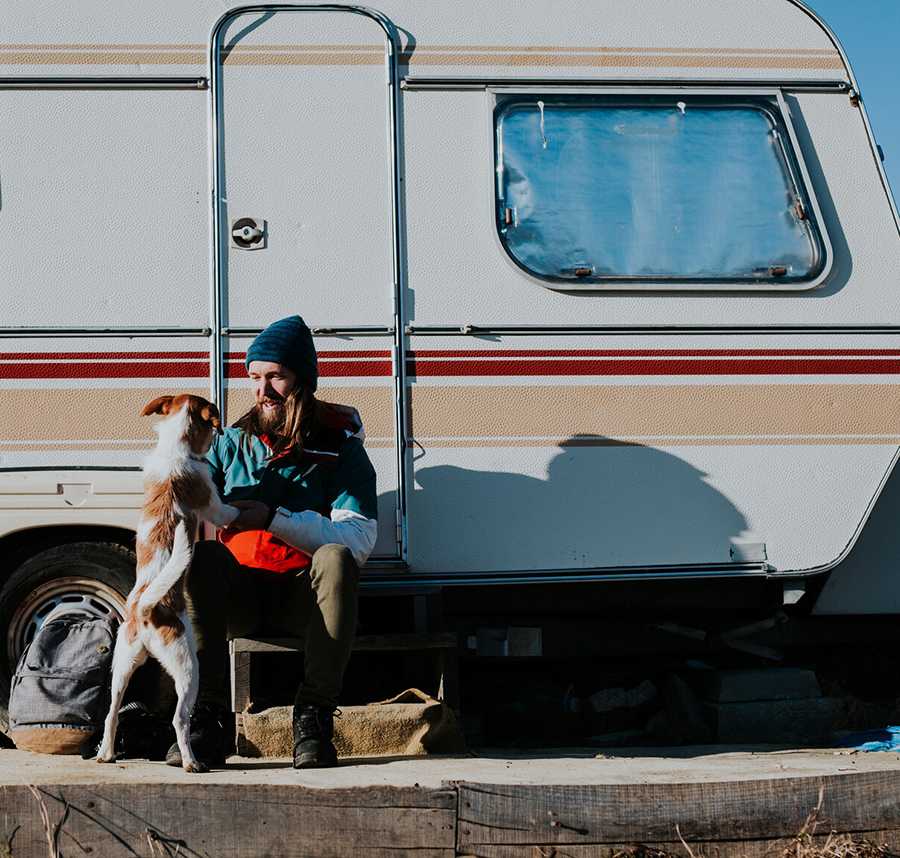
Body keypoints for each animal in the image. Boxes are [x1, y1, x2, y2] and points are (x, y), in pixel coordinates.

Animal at [96, 392, 239, 772]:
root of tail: (147, 610)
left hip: (121, 667)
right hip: (189, 668)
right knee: (179, 719)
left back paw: (106, 753)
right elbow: (232, 508)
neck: (176, 449)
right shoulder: (217, 508)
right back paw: (191, 761)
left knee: (111, 713)